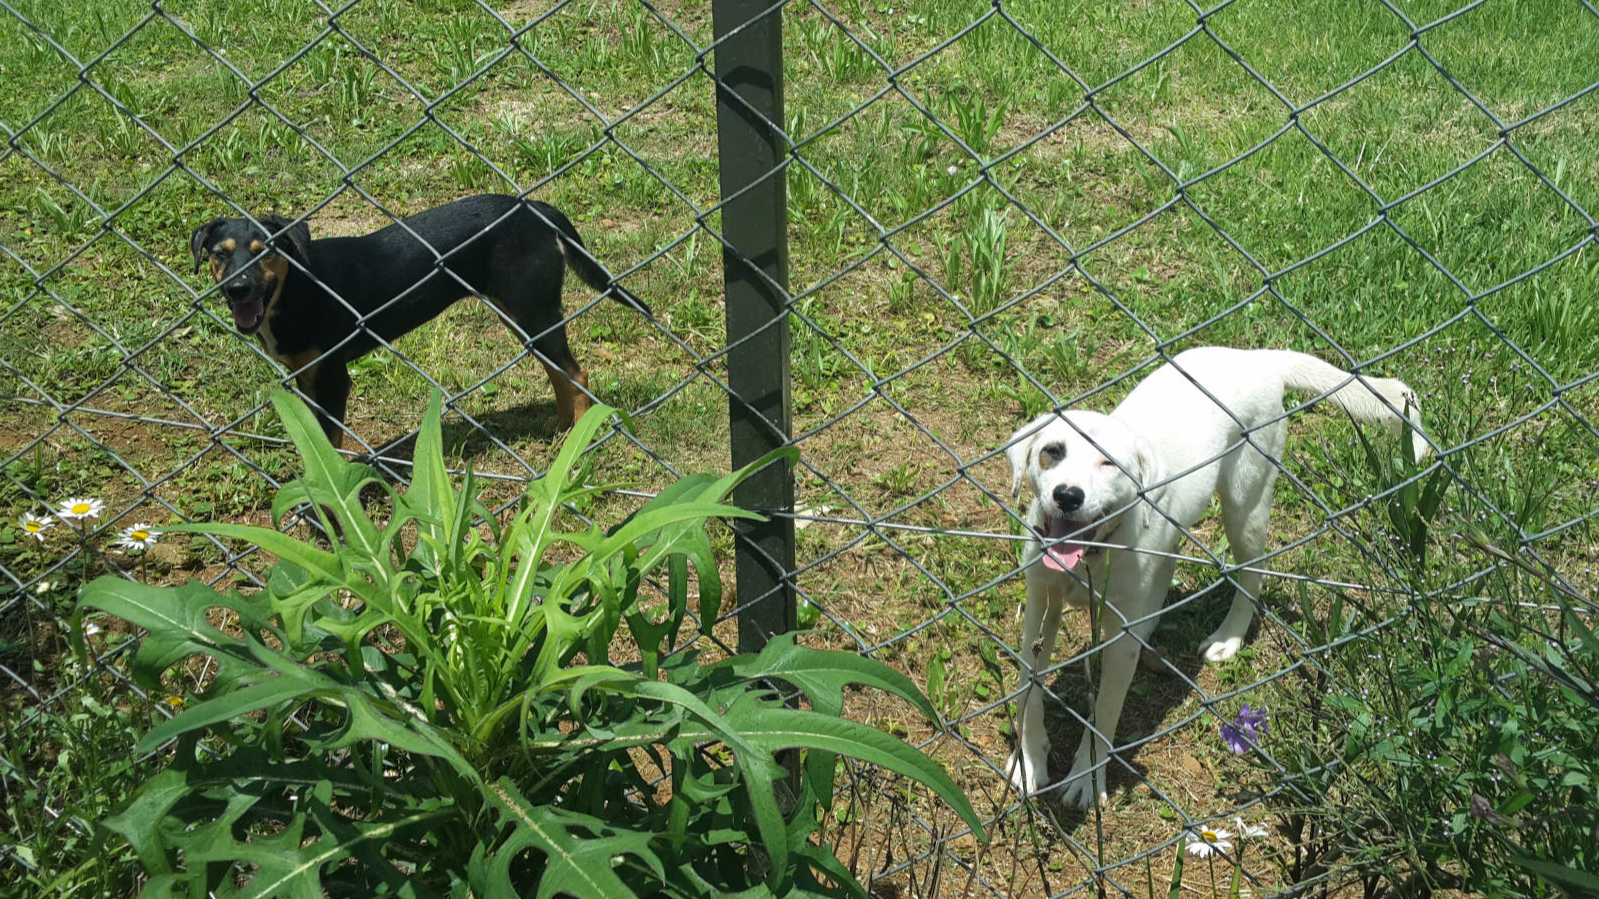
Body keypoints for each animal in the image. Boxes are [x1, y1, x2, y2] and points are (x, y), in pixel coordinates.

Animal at [193, 191, 649, 441]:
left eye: (265, 252)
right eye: (219, 253)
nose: (237, 289)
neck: (297, 288)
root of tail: (535, 206)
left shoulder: (334, 378)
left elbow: (332, 440)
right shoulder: (305, 376)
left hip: (532, 309)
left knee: (577, 373)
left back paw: (578, 440)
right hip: (522, 316)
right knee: (560, 372)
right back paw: (562, 428)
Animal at [1004, 343, 1432, 806]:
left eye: (1109, 464)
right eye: (1052, 451)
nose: (1067, 496)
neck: (1096, 554)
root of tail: (1260, 357)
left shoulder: (1117, 645)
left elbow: (1104, 714)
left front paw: (1086, 776)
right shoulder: (1040, 602)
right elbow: (1028, 686)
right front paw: (1029, 760)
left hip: (1245, 505)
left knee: (1252, 574)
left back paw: (1229, 635)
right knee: (1168, 563)